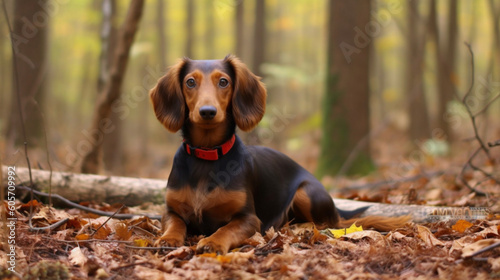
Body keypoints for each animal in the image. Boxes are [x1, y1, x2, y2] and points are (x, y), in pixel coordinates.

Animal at [149, 55, 410, 255]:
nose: (207, 112)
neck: (207, 155)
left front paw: (212, 241)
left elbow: (225, 229)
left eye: (223, 82)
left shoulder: (249, 219)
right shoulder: (170, 210)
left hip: (306, 192)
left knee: (330, 223)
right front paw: (168, 238)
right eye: (190, 82)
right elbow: (175, 223)